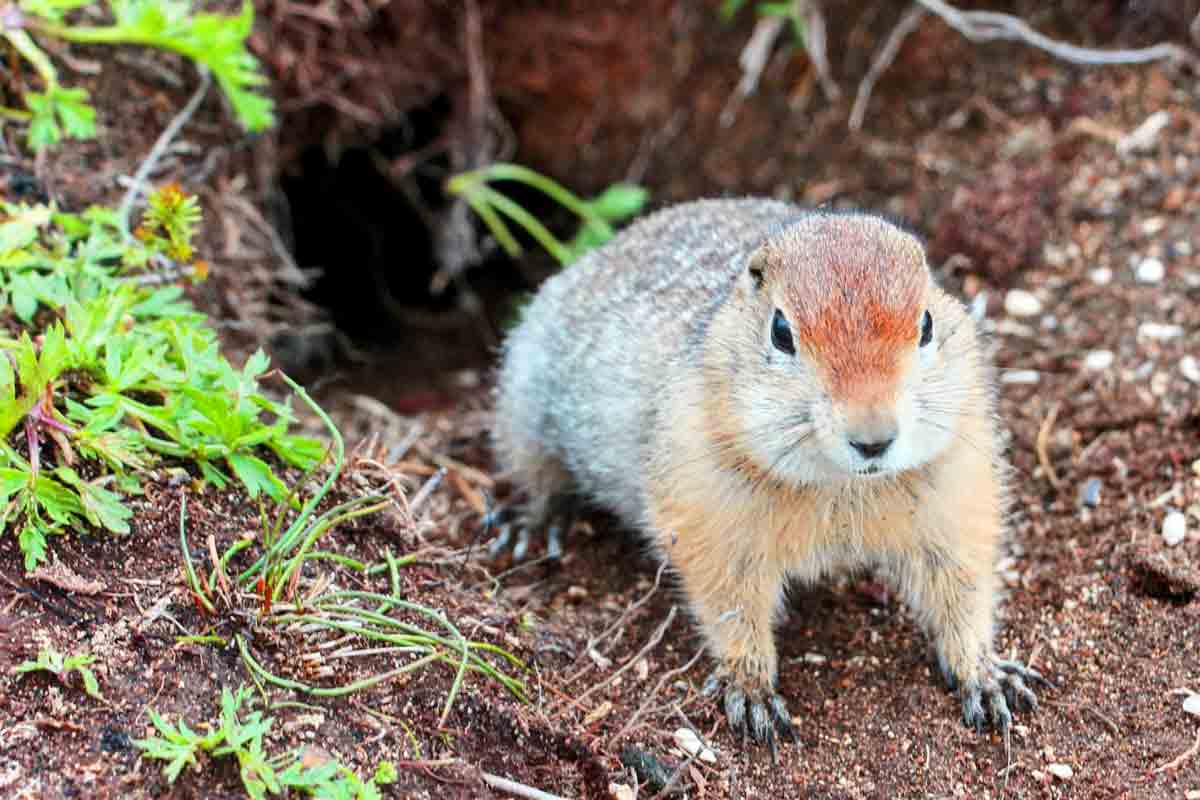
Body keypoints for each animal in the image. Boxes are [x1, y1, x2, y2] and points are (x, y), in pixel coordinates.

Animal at [492, 196, 1046, 753]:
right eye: (781, 332)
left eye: (927, 323)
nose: (873, 438)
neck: (842, 484)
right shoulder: (709, 513)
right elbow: (730, 603)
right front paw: (753, 692)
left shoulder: (957, 488)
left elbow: (962, 587)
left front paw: (989, 676)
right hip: (524, 395)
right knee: (535, 472)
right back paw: (531, 525)